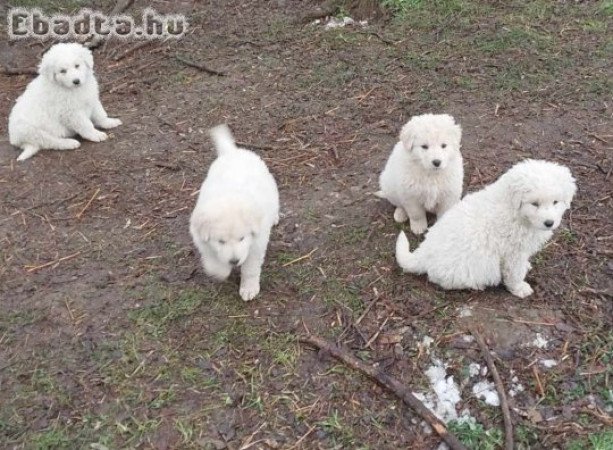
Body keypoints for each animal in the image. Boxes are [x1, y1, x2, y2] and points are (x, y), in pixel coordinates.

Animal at [189, 124, 280, 302]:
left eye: (242, 238)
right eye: (221, 241)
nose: (234, 261)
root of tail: (232, 152)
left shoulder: (256, 245)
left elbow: (250, 269)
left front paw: (249, 289)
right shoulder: (203, 242)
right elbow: (213, 260)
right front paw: (221, 271)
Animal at [394, 159, 576, 298]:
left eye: (555, 202)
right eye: (535, 204)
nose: (549, 222)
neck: (515, 210)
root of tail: (423, 254)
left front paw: (527, 266)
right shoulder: (513, 252)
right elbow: (515, 272)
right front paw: (520, 288)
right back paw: (476, 286)